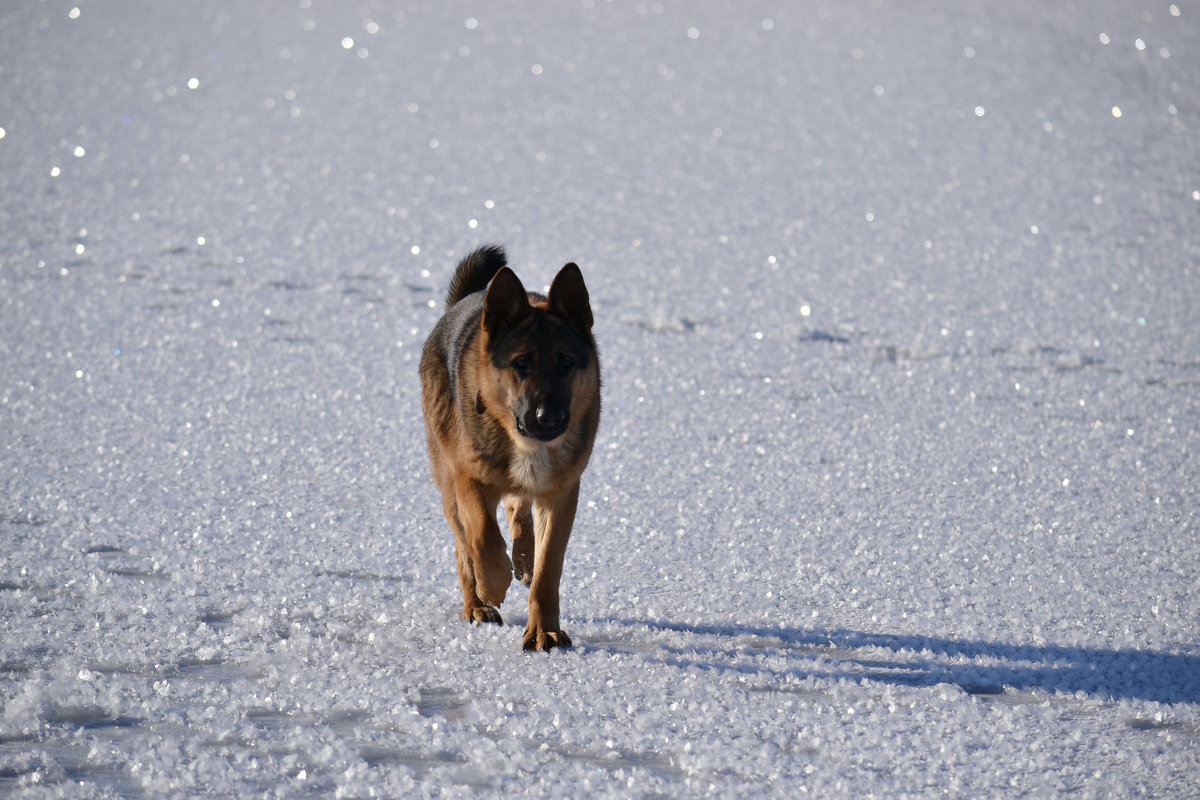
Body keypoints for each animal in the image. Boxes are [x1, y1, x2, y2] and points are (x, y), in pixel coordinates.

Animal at [420, 244, 600, 652]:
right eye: (522, 364)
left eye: (566, 363)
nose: (549, 417)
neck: (525, 443)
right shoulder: (468, 478)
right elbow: (483, 537)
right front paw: (493, 584)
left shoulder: (561, 493)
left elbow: (548, 570)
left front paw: (544, 631)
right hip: (448, 481)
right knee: (463, 546)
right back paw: (477, 604)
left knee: (518, 509)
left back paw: (523, 557)